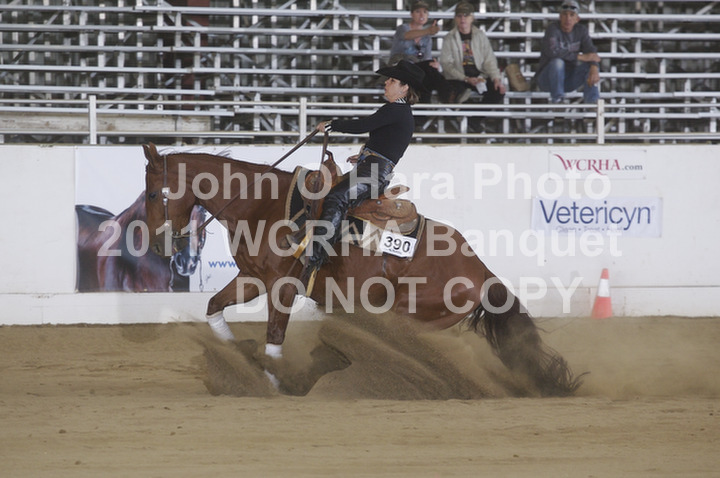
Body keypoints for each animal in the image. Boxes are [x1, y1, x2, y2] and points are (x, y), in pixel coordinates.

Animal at [143, 143, 583, 396]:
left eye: (150, 193)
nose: (158, 243)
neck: (261, 204)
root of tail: (480, 273)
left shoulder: (283, 286)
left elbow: (274, 339)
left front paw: (275, 380)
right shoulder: (253, 279)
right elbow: (214, 309)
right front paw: (242, 363)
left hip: (407, 317)